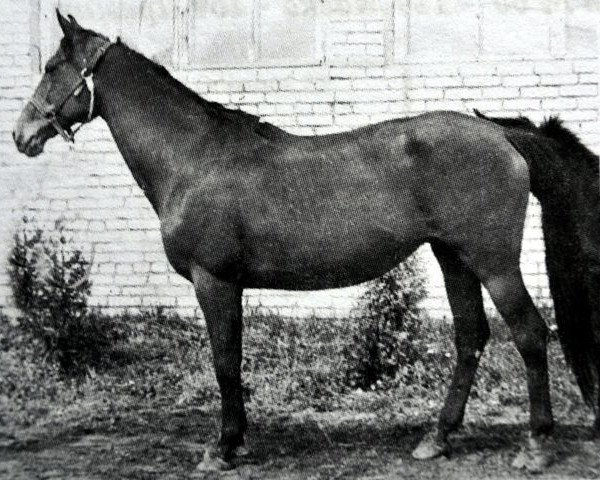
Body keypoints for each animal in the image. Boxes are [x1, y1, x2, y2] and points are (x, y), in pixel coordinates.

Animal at [11, 11, 596, 472]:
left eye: (51, 68)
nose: (22, 135)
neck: (194, 158)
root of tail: (501, 133)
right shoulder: (227, 285)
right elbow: (232, 359)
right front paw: (236, 441)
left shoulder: (213, 282)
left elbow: (224, 360)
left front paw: (222, 448)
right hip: (453, 258)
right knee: (470, 338)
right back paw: (437, 437)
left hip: (493, 262)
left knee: (529, 335)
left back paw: (536, 445)